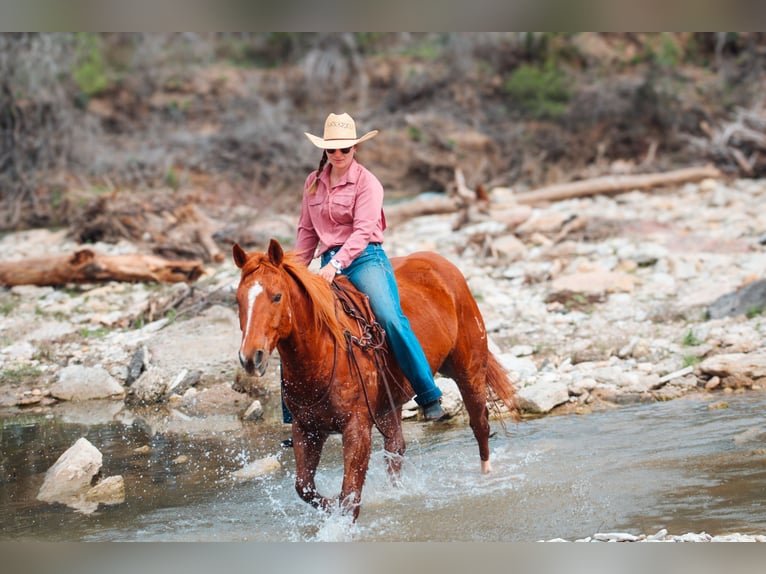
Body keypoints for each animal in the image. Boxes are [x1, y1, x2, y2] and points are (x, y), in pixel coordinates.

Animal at [232, 238, 520, 520]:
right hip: (390, 406)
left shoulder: (357, 429)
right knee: (396, 449)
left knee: (479, 423)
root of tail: (444, 265)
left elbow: (350, 495)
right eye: (238, 300)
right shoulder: (306, 429)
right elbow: (305, 487)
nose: (250, 357)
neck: (323, 351)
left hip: (469, 370)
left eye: (277, 296)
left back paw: (486, 473)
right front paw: (330, 505)